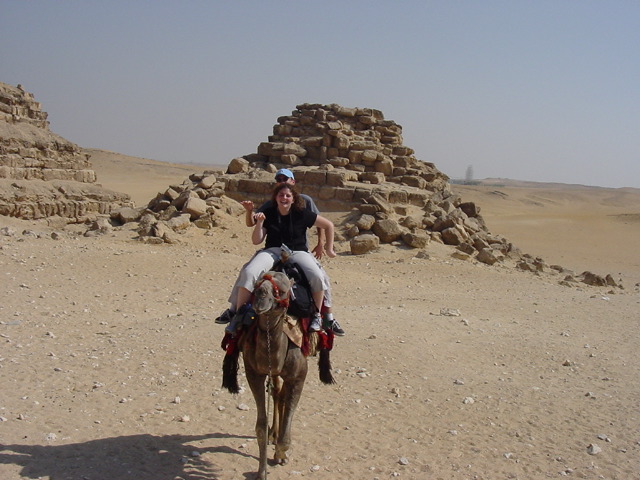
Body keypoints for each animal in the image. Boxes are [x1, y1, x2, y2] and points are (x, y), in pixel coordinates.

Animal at [221, 271, 335, 480]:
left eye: (282, 290)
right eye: (257, 286)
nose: (261, 298)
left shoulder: (298, 377)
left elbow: (288, 421)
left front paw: (281, 454)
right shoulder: (254, 373)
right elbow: (260, 425)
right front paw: (261, 471)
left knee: (280, 394)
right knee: (276, 393)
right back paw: (273, 433)